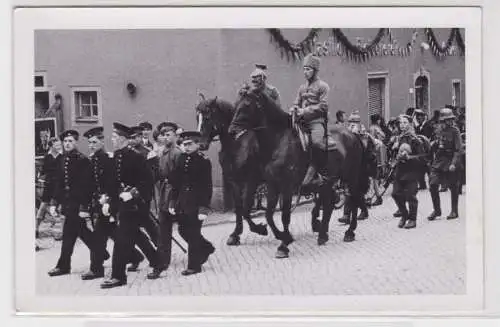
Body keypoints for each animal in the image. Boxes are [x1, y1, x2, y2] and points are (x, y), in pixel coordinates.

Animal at [197, 91, 370, 258]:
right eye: (197, 115)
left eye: (207, 116)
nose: (201, 144)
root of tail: (352, 134)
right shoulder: (240, 181)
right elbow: (252, 211)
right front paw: (239, 234)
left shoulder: (259, 182)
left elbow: (261, 211)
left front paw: (277, 240)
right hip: (330, 180)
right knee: (328, 202)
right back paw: (322, 232)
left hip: (351, 177)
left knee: (353, 198)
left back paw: (349, 231)